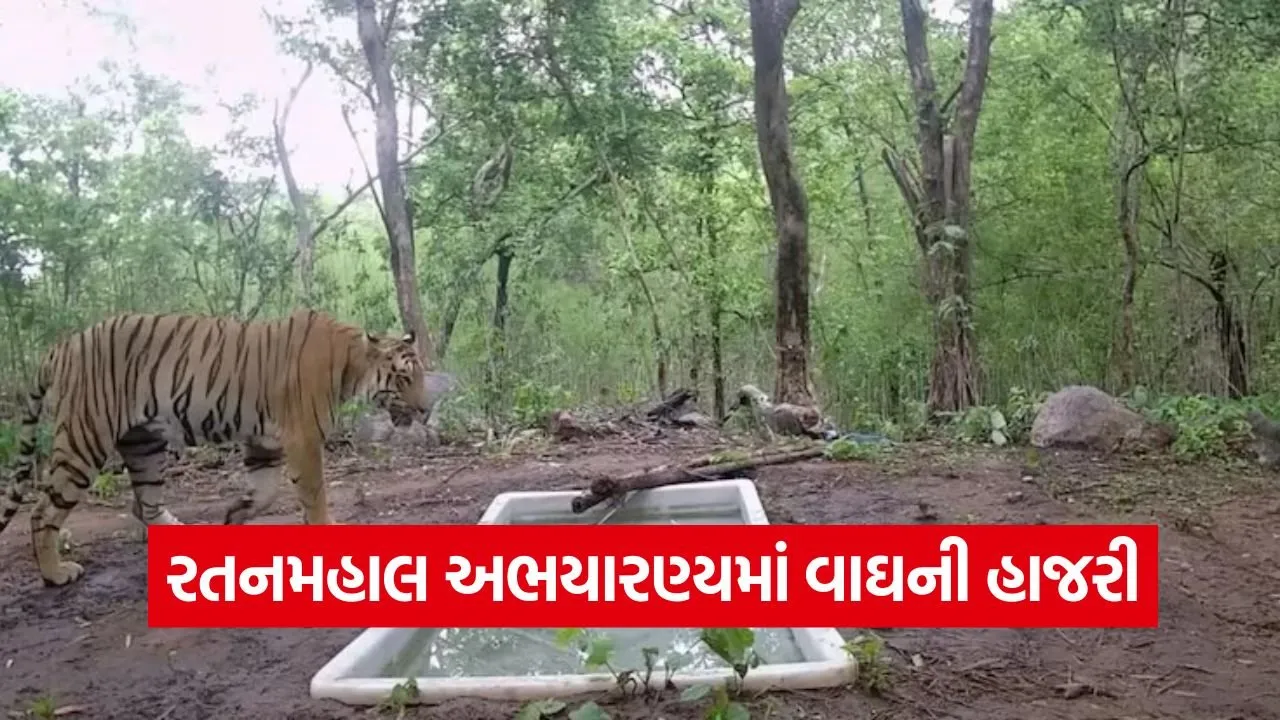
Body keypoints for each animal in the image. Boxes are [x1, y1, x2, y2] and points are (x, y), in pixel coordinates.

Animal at [0, 307, 434, 587]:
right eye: (403, 379)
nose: (427, 409)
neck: (351, 363)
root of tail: (64, 345)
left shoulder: (266, 442)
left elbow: (265, 491)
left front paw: (235, 513)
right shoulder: (304, 438)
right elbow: (314, 495)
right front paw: (325, 530)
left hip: (144, 444)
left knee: (145, 504)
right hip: (84, 439)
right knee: (42, 511)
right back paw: (55, 573)